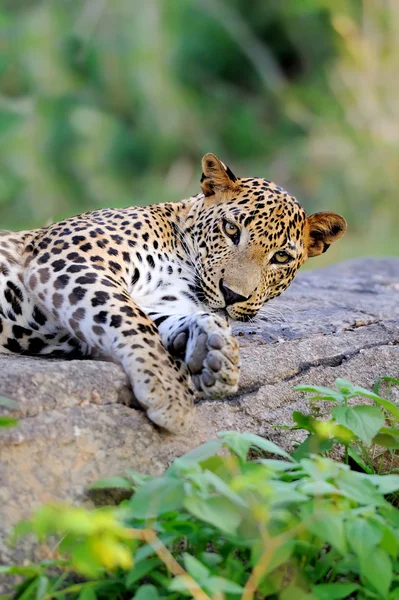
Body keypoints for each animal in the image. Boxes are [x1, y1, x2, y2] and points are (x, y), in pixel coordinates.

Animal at [0, 154, 346, 432]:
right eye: (230, 229)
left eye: (281, 257)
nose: (232, 295)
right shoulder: (72, 260)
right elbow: (132, 319)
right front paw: (169, 392)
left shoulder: (159, 300)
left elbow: (159, 320)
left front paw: (215, 351)